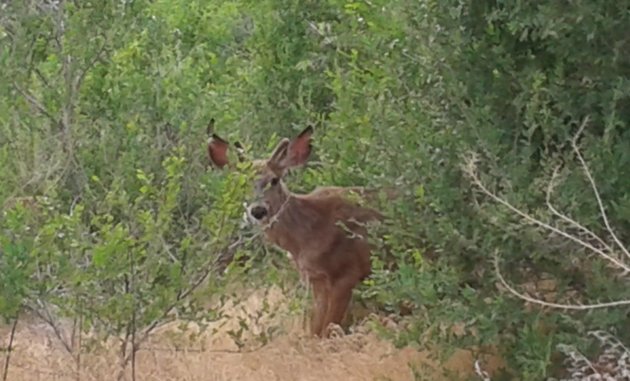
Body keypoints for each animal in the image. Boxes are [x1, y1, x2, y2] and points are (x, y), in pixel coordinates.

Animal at [207, 121, 386, 336]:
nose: (258, 210)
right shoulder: (316, 279)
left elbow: (326, 329)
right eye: (241, 183)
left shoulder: (347, 272)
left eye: (274, 180)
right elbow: (315, 329)